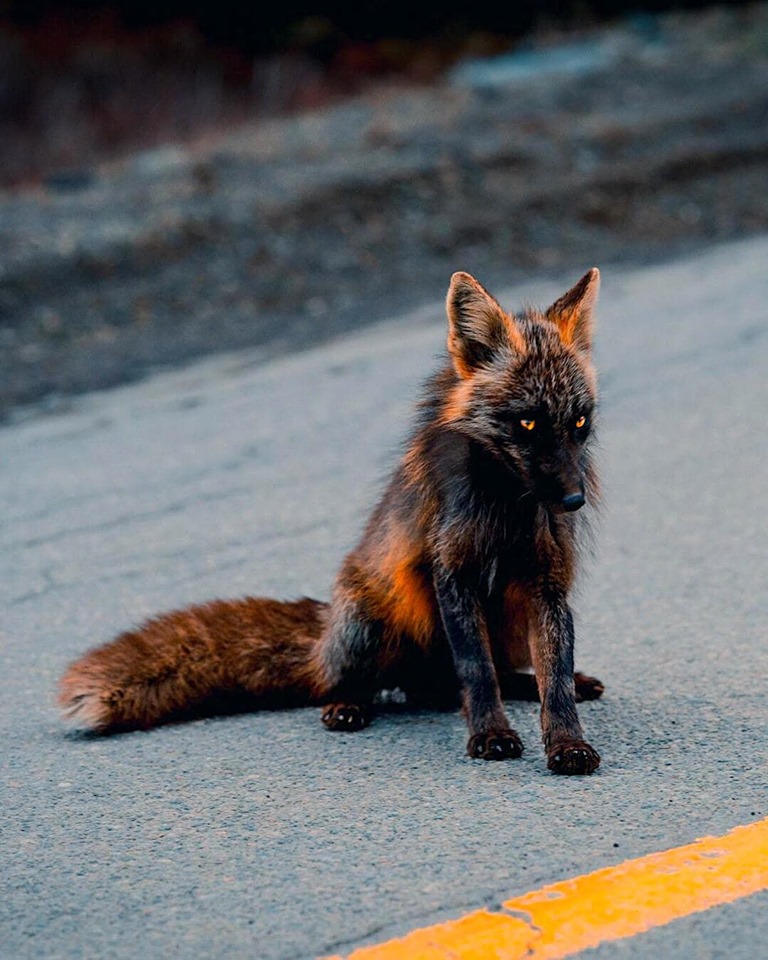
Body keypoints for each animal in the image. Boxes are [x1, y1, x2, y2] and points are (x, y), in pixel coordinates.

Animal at [59, 268, 605, 774]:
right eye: (527, 422)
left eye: (578, 422)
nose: (573, 500)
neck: (505, 510)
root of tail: (323, 635)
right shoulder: (453, 574)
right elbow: (476, 670)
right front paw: (490, 735)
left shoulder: (547, 583)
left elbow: (554, 677)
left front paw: (567, 743)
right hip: (372, 622)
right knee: (380, 686)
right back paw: (347, 706)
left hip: (506, 622)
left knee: (467, 683)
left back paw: (553, 684)